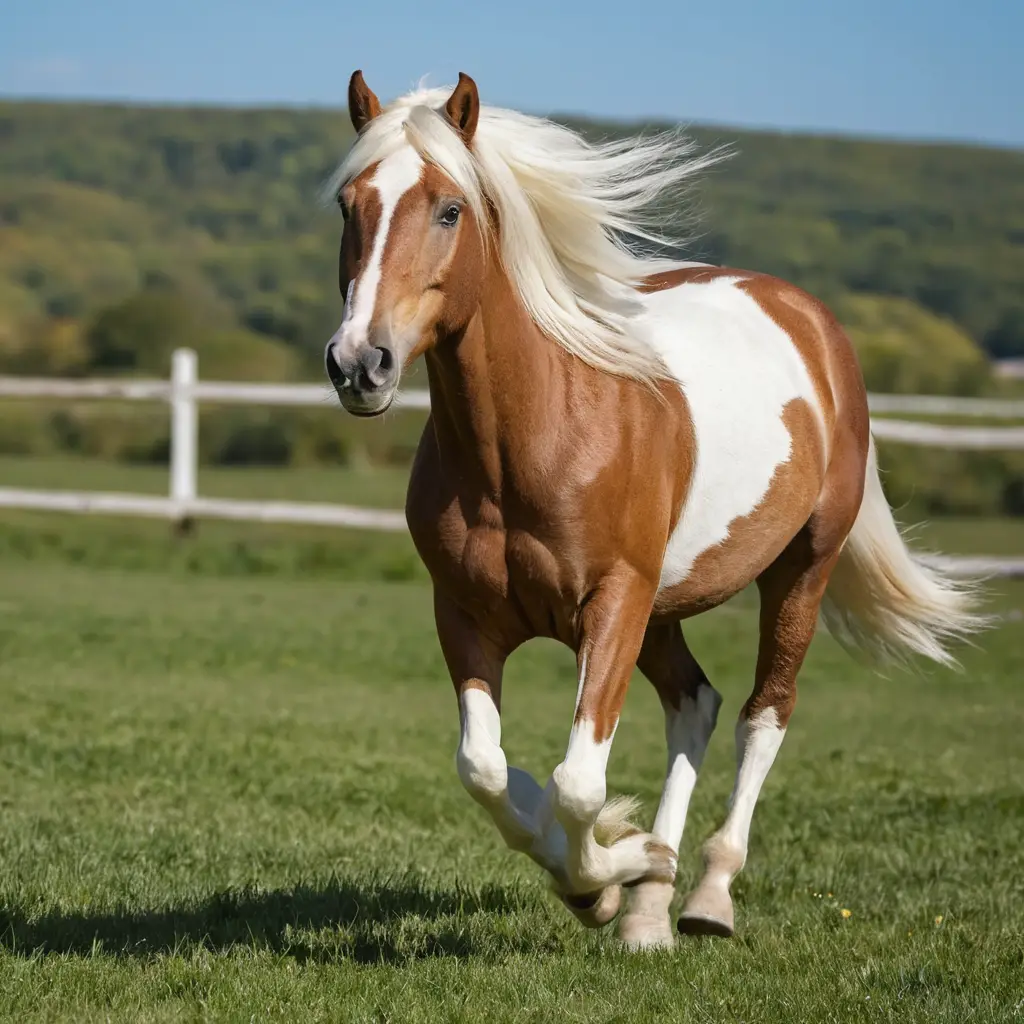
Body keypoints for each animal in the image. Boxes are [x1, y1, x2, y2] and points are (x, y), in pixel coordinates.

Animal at [321, 70, 985, 949]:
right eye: (348, 205)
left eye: (449, 209)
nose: (360, 364)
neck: (531, 442)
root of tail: (807, 318)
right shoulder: (464, 614)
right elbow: (488, 770)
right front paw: (611, 874)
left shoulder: (613, 602)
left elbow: (578, 782)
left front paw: (607, 870)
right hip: (664, 609)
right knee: (694, 706)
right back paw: (648, 905)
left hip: (796, 572)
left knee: (761, 716)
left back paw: (705, 896)